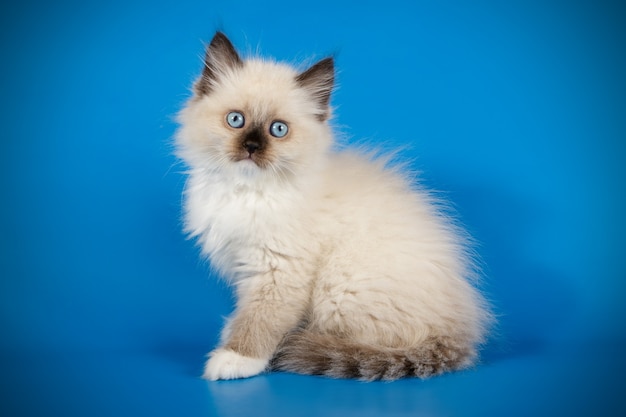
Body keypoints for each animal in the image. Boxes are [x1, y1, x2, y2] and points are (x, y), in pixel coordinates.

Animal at [173, 31, 490, 380]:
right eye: (236, 120)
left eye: (278, 130)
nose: (252, 147)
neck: (247, 191)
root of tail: (458, 331)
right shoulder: (246, 269)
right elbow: (247, 314)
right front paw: (231, 333)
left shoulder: (277, 271)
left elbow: (260, 320)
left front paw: (235, 358)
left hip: (338, 289)